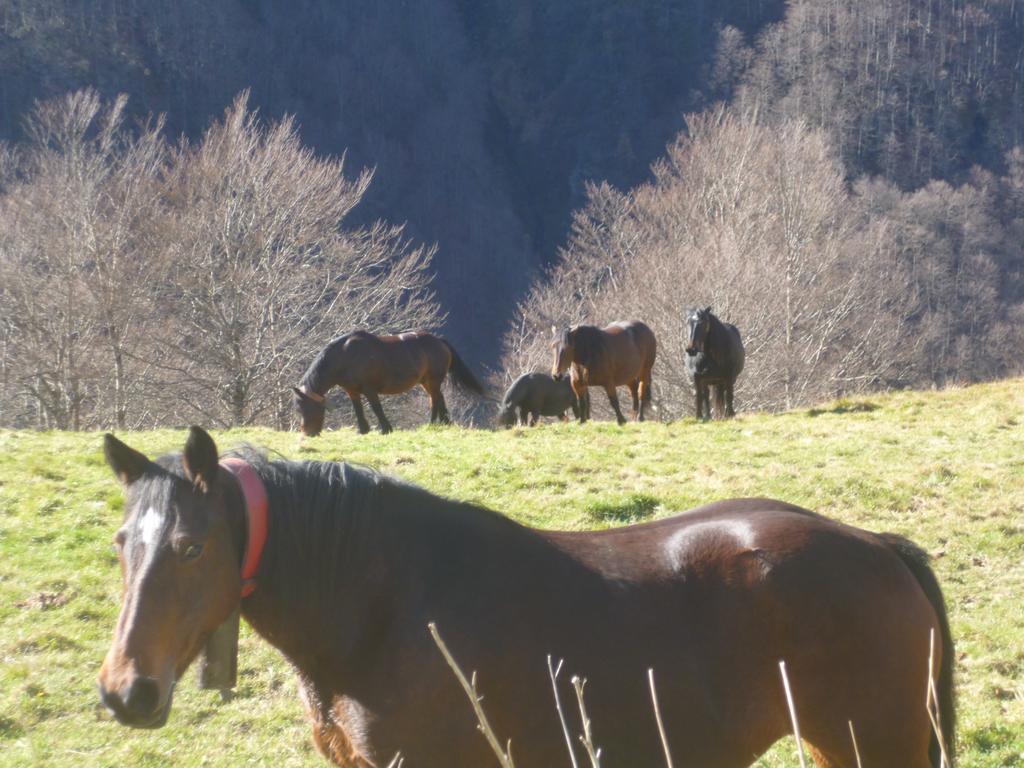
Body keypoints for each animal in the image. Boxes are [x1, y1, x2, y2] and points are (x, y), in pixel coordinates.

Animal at [292, 331, 483, 438]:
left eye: (307, 407)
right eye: (298, 409)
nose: (307, 433)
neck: (344, 356)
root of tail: (440, 341)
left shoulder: (369, 389)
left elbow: (376, 408)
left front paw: (386, 429)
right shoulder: (352, 391)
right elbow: (358, 409)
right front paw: (363, 430)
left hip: (433, 380)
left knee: (434, 400)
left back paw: (431, 423)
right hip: (427, 382)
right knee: (439, 398)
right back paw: (444, 423)